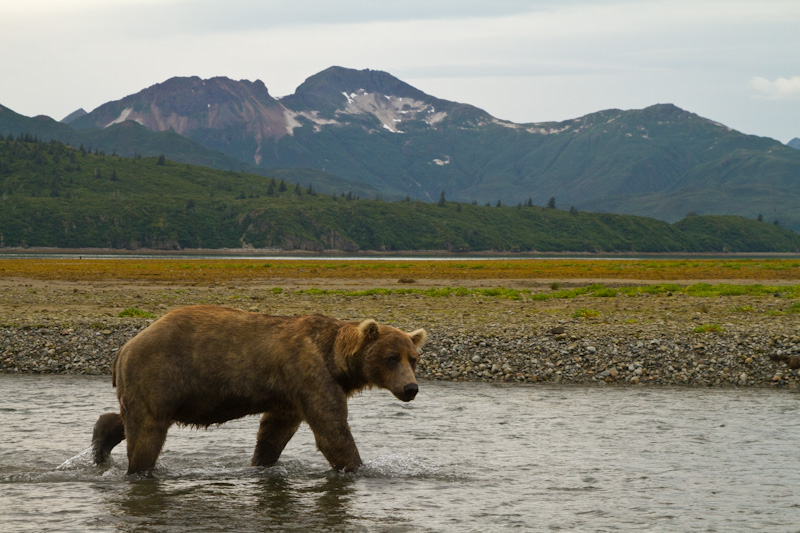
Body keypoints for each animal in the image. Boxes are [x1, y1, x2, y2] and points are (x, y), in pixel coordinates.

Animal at [90, 306, 428, 476]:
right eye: (391, 357)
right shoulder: (308, 372)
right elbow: (331, 428)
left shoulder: (289, 394)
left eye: (413, 358)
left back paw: (101, 439)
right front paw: (360, 467)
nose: (410, 388)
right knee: (148, 431)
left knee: (129, 418)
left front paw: (261, 462)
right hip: (160, 373)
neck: (336, 360)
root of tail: (124, 348)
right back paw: (138, 470)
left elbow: (274, 431)